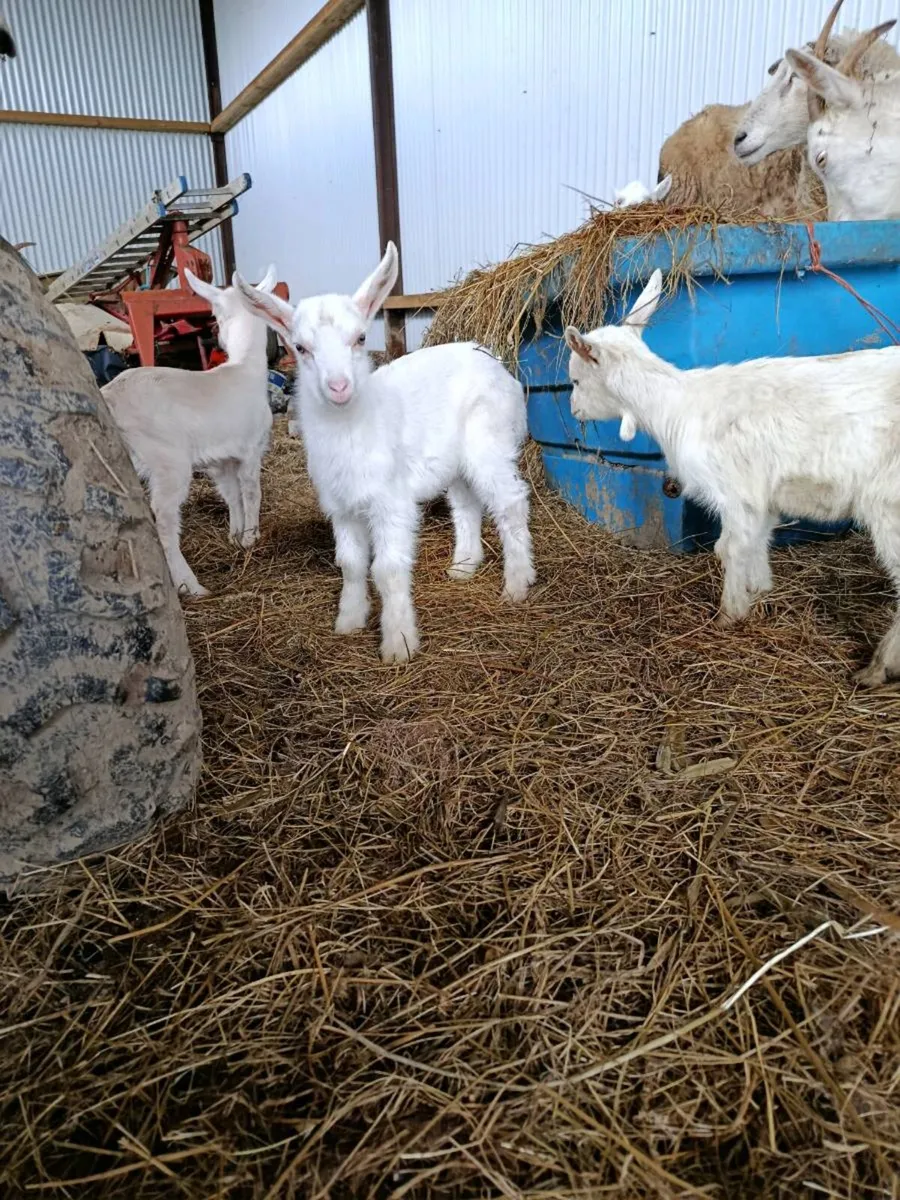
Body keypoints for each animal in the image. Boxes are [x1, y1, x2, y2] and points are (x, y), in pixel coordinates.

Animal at [101, 267, 277, 597]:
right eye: (214, 314)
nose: (219, 341)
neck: (245, 369)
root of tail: (110, 398)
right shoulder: (251, 448)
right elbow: (251, 491)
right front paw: (251, 537)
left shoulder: (220, 460)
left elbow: (231, 494)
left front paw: (235, 535)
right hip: (167, 459)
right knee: (164, 518)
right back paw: (190, 585)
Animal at [234, 242, 536, 664]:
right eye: (301, 348)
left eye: (361, 338)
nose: (339, 387)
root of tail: (493, 361)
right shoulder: (341, 506)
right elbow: (351, 564)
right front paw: (349, 620)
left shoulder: (391, 502)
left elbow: (387, 570)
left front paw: (398, 644)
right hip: (456, 462)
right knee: (466, 505)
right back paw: (463, 566)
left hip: (489, 443)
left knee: (510, 502)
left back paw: (517, 584)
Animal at [564, 269, 900, 687]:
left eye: (576, 381)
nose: (573, 410)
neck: (674, 406)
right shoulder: (762, 500)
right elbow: (758, 540)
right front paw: (759, 591)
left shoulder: (737, 491)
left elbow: (729, 548)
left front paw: (729, 615)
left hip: (888, 502)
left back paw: (877, 668)